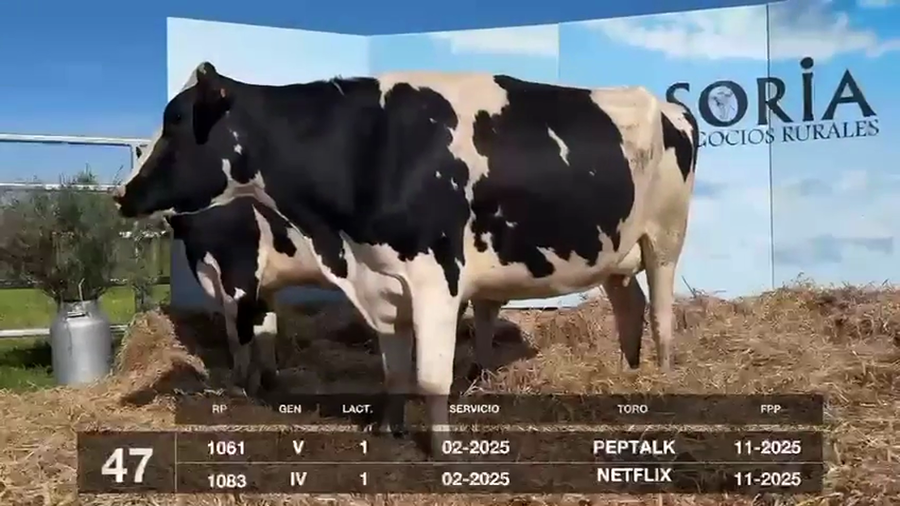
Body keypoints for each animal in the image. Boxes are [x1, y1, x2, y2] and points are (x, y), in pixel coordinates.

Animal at [112, 62, 699, 453]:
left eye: (177, 119)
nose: (121, 194)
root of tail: (668, 104)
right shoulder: (381, 281)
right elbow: (393, 369)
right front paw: (387, 428)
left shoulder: (433, 279)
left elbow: (430, 377)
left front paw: (441, 453)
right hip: (616, 252)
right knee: (629, 304)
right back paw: (628, 373)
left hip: (665, 239)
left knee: (662, 314)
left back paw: (665, 377)